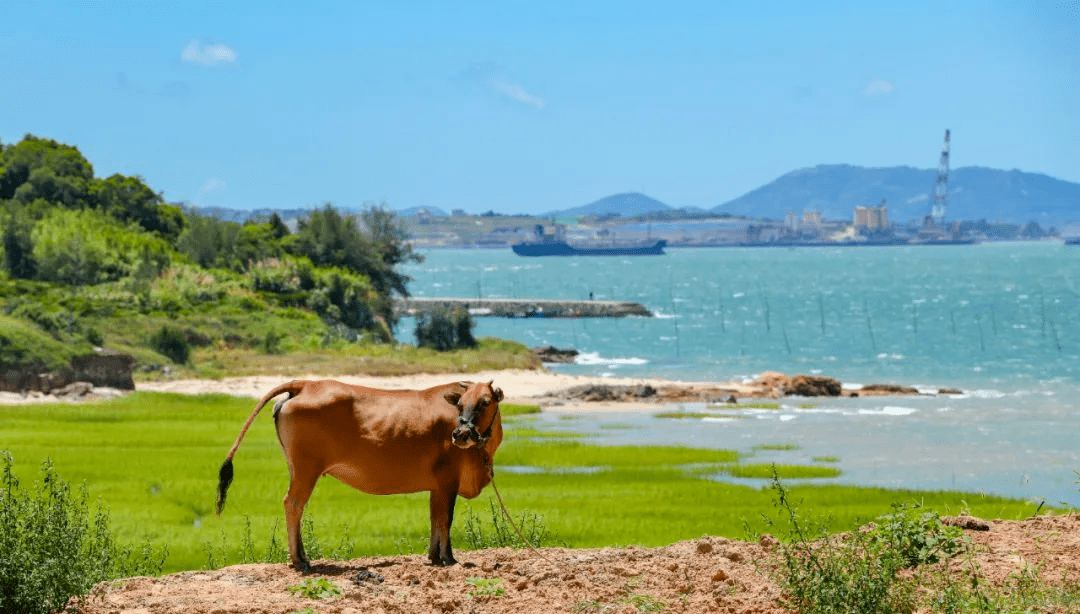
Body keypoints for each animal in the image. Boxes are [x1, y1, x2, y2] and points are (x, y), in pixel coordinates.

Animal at [220, 377, 509, 569]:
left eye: (484, 402)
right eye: (460, 404)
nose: (460, 434)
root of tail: (306, 383)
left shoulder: (437, 486)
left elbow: (435, 519)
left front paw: (434, 556)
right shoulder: (448, 481)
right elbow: (445, 520)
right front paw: (448, 558)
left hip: (296, 469)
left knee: (296, 507)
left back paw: (301, 556)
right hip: (306, 470)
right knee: (293, 504)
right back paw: (300, 560)